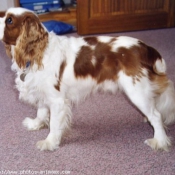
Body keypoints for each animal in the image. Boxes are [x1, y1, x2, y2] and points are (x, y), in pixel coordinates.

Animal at [0, 7, 175, 151]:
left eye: (9, 20)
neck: (38, 52)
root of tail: (145, 47)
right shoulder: (42, 91)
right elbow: (41, 111)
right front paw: (36, 124)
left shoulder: (57, 100)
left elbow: (55, 124)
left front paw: (49, 143)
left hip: (136, 91)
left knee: (156, 115)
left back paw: (159, 141)